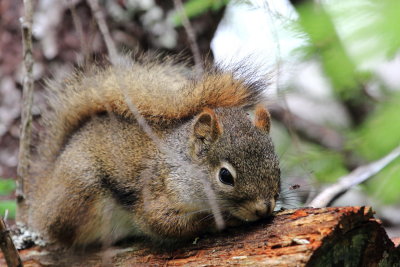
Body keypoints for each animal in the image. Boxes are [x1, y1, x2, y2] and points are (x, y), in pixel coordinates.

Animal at [26, 55, 282, 249]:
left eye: (277, 168)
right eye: (225, 176)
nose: (264, 209)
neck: (183, 166)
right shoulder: (156, 192)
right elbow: (164, 223)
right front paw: (225, 220)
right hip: (81, 190)